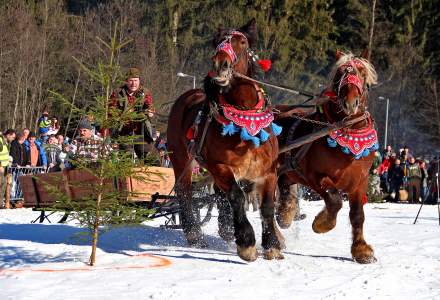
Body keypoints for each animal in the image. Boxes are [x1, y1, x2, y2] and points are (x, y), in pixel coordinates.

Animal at [167, 19, 284, 262]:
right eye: (217, 42)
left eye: (242, 42)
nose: (220, 64)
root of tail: (186, 96)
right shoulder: (220, 166)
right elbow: (237, 197)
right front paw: (246, 242)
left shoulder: (268, 171)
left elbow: (267, 206)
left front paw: (272, 244)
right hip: (182, 159)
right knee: (185, 192)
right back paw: (195, 234)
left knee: (219, 196)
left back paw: (226, 228)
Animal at [278, 50, 378, 264]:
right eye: (339, 75)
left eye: (362, 72)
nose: (350, 102)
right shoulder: (315, 177)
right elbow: (334, 199)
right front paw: (322, 223)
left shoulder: (360, 181)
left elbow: (357, 214)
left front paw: (361, 250)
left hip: (288, 171)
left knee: (283, 185)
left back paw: (285, 215)